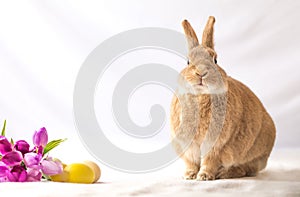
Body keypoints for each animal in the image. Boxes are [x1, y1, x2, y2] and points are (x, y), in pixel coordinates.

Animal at [170, 16, 276, 180]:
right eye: (188, 61)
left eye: (215, 60)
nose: (201, 72)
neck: (201, 96)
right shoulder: (189, 146)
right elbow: (192, 162)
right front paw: (189, 175)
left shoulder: (216, 145)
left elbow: (209, 161)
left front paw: (204, 176)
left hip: (252, 154)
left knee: (246, 169)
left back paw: (224, 173)